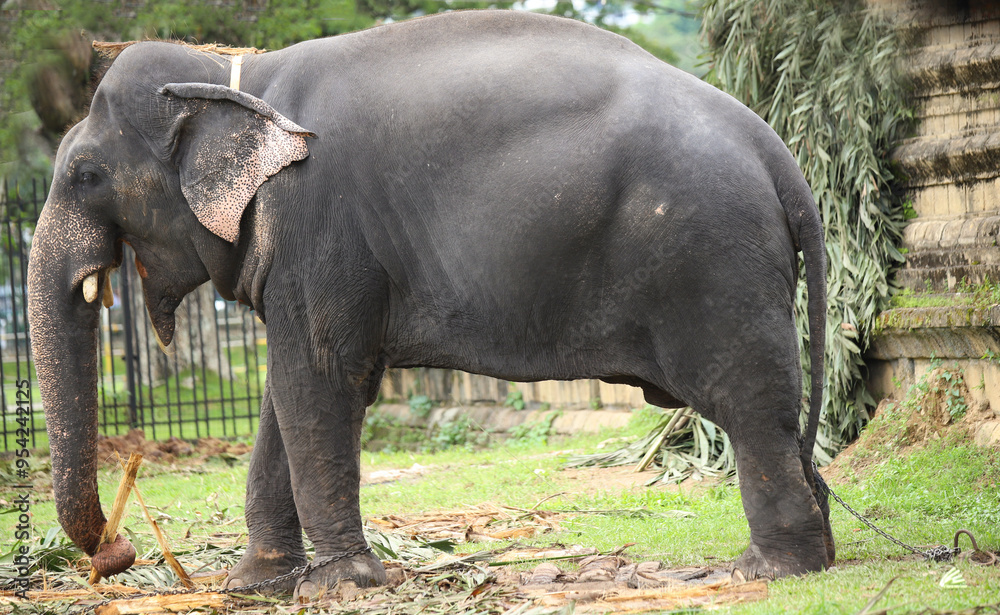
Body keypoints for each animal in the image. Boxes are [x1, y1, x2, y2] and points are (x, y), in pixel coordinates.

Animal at [27, 9, 832, 599]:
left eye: (86, 173)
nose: (118, 554)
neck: (240, 72)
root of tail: (776, 149)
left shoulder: (318, 223)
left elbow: (318, 380)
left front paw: (339, 587)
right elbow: (285, 395)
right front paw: (254, 584)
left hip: (710, 257)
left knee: (748, 402)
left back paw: (769, 571)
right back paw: (811, 552)